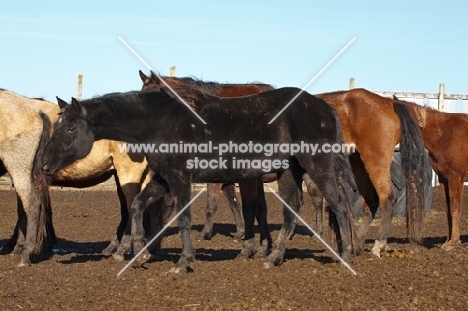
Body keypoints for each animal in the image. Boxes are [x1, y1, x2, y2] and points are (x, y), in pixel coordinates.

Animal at [42, 86, 356, 272]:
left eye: (71, 128)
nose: (45, 164)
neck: (158, 122)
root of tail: (325, 107)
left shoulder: (180, 178)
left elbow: (183, 217)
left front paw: (183, 261)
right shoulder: (164, 179)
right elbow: (138, 205)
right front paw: (140, 252)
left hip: (318, 166)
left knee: (338, 204)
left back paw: (346, 256)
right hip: (290, 171)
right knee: (293, 209)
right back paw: (273, 258)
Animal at [314, 88, 428, 256]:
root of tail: (390, 103)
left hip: (375, 163)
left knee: (388, 198)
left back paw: (377, 246)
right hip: (359, 165)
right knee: (371, 202)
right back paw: (357, 245)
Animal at [396, 98, 468, 252]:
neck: (444, 135)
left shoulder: (455, 178)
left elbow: (455, 208)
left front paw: (453, 242)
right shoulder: (444, 179)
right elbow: (448, 210)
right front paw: (448, 240)